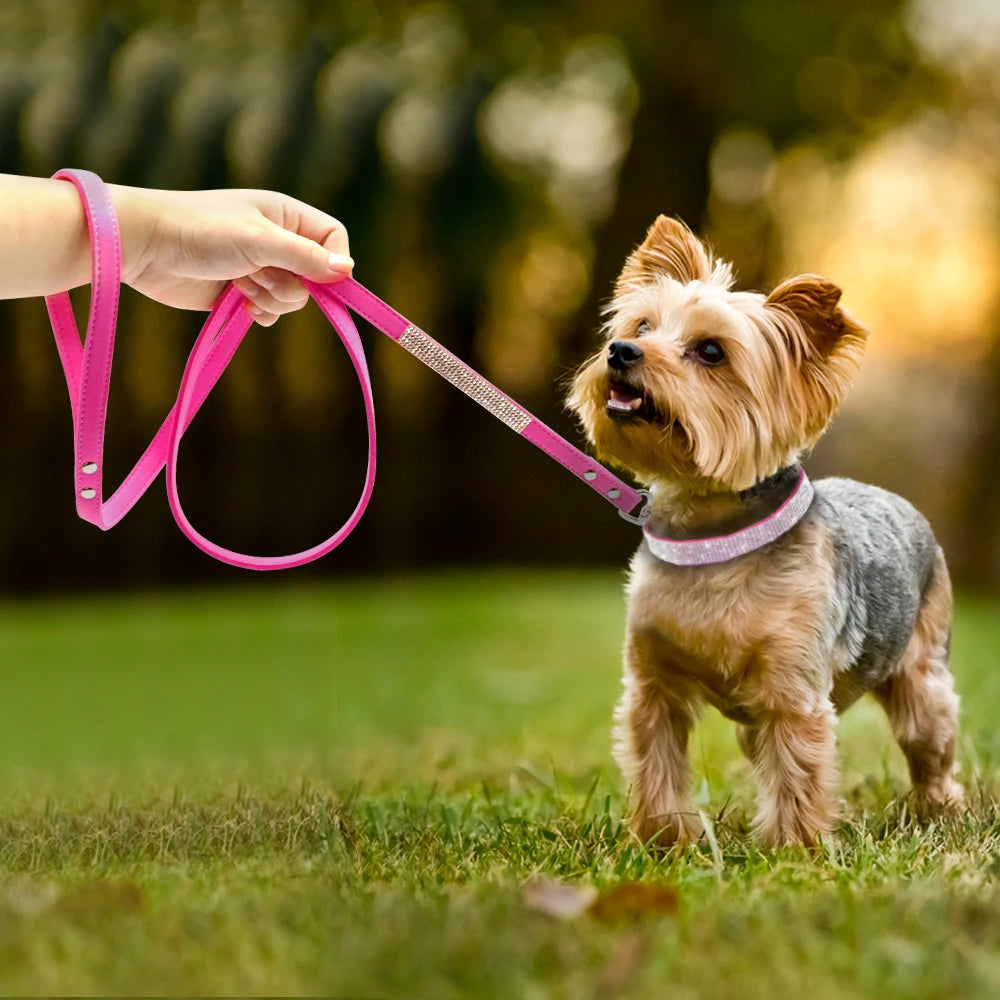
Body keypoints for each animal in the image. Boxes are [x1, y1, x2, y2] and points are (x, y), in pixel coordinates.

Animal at [568, 217, 964, 844]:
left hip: (922, 673)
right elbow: (656, 758)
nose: (620, 350)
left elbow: (798, 768)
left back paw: (937, 806)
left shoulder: (792, 690)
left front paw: (792, 847)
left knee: (929, 737)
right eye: (642, 326)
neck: (711, 539)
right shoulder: (652, 685)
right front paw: (661, 838)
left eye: (711, 352)